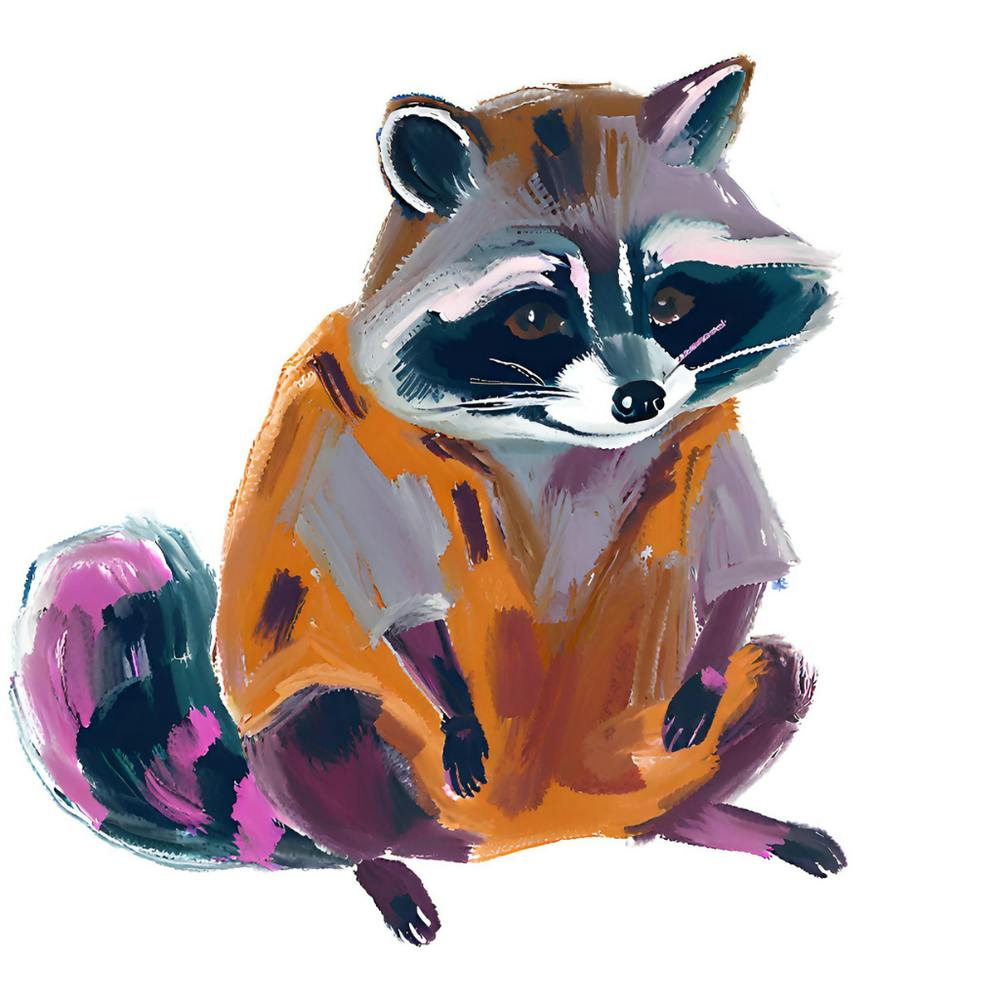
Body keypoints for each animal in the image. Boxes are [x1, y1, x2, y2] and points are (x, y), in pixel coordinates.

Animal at [12, 56, 843, 945]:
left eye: (669, 302)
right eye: (534, 316)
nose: (640, 399)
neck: (553, 436)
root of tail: (532, 831)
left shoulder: (706, 433)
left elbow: (737, 564)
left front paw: (713, 661)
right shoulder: (348, 421)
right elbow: (402, 584)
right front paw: (446, 684)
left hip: (637, 756)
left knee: (779, 677)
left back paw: (694, 815)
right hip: (375, 762)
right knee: (322, 723)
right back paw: (374, 858)